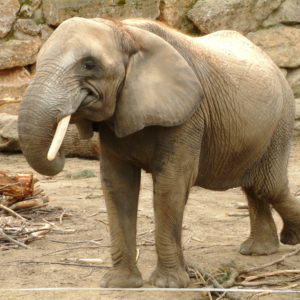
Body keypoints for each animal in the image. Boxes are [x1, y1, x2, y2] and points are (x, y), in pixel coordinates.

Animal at [18, 17, 300, 288]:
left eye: (89, 65)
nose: (60, 153)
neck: (124, 29)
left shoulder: (189, 116)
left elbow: (170, 184)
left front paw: (169, 284)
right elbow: (117, 184)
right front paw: (120, 284)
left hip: (282, 120)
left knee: (269, 186)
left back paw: (290, 240)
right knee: (254, 187)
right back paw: (258, 251)